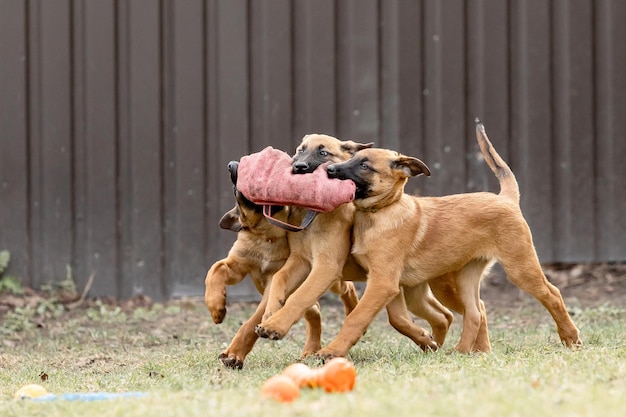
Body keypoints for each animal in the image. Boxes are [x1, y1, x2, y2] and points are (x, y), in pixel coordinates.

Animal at [205, 162, 358, 368]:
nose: (232, 165)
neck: (265, 234)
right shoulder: (237, 265)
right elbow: (214, 270)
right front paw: (216, 308)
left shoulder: (271, 285)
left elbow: (251, 323)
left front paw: (234, 353)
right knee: (314, 310)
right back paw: (310, 349)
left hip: (331, 279)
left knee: (346, 287)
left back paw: (352, 308)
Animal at [300, 118, 576, 356]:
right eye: (353, 158)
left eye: (364, 165)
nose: (329, 169)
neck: (380, 212)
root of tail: (505, 198)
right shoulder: (389, 283)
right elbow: (397, 320)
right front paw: (427, 342)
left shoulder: (383, 282)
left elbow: (356, 318)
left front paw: (331, 352)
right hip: (465, 276)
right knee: (476, 311)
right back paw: (467, 351)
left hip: (519, 266)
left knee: (552, 294)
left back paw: (570, 338)